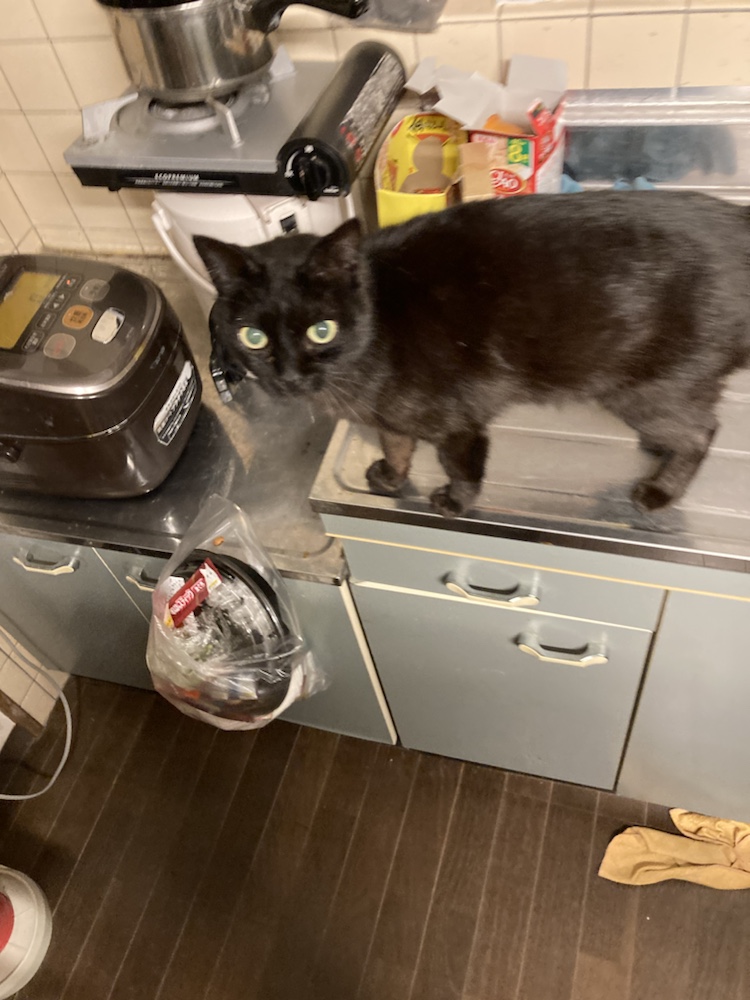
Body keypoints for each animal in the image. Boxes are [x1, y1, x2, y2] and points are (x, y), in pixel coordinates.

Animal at [194, 191, 750, 518]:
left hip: (647, 389)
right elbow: (397, 443)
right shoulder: (390, 416)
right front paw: (391, 478)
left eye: (321, 330)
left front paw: (454, 501)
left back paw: (659, 491)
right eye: (253, 338)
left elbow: (459, 462)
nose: (287, 376)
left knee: (702, 431)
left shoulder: (458, 421)